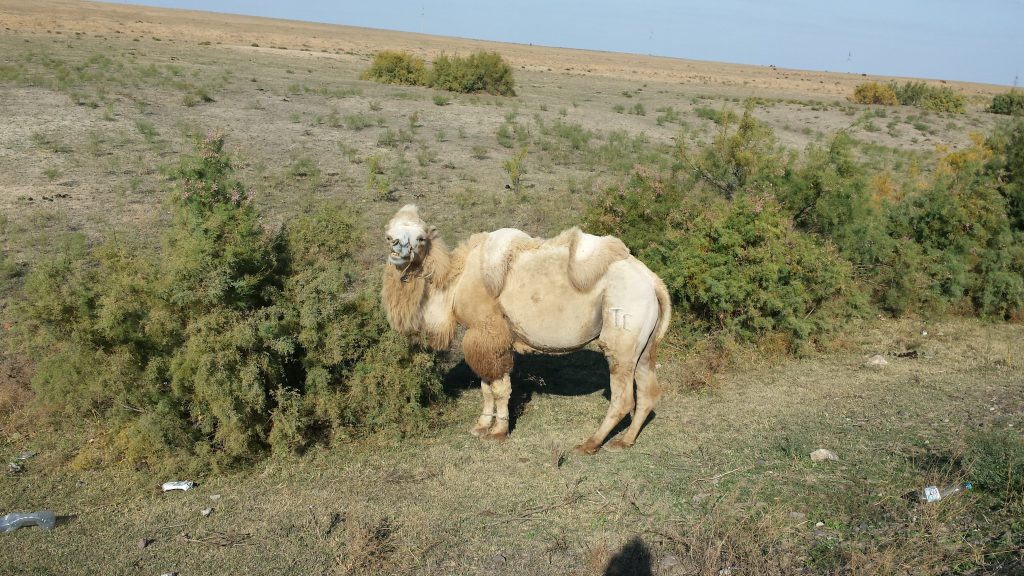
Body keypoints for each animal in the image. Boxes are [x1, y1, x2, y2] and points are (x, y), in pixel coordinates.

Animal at [381, 205, 671, 454]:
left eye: (420, 237)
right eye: (389, 232)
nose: (396, 245)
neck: (455, 280)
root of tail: (653, 282)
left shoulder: (489, 330)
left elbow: (499, 388)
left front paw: (498, 431)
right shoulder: (484, 338)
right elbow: (486, 385)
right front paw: (481, 426)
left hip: (622, 331)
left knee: (623, 397)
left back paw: (590, 444)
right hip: (644, 344)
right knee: (648, 392)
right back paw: (625, 441)